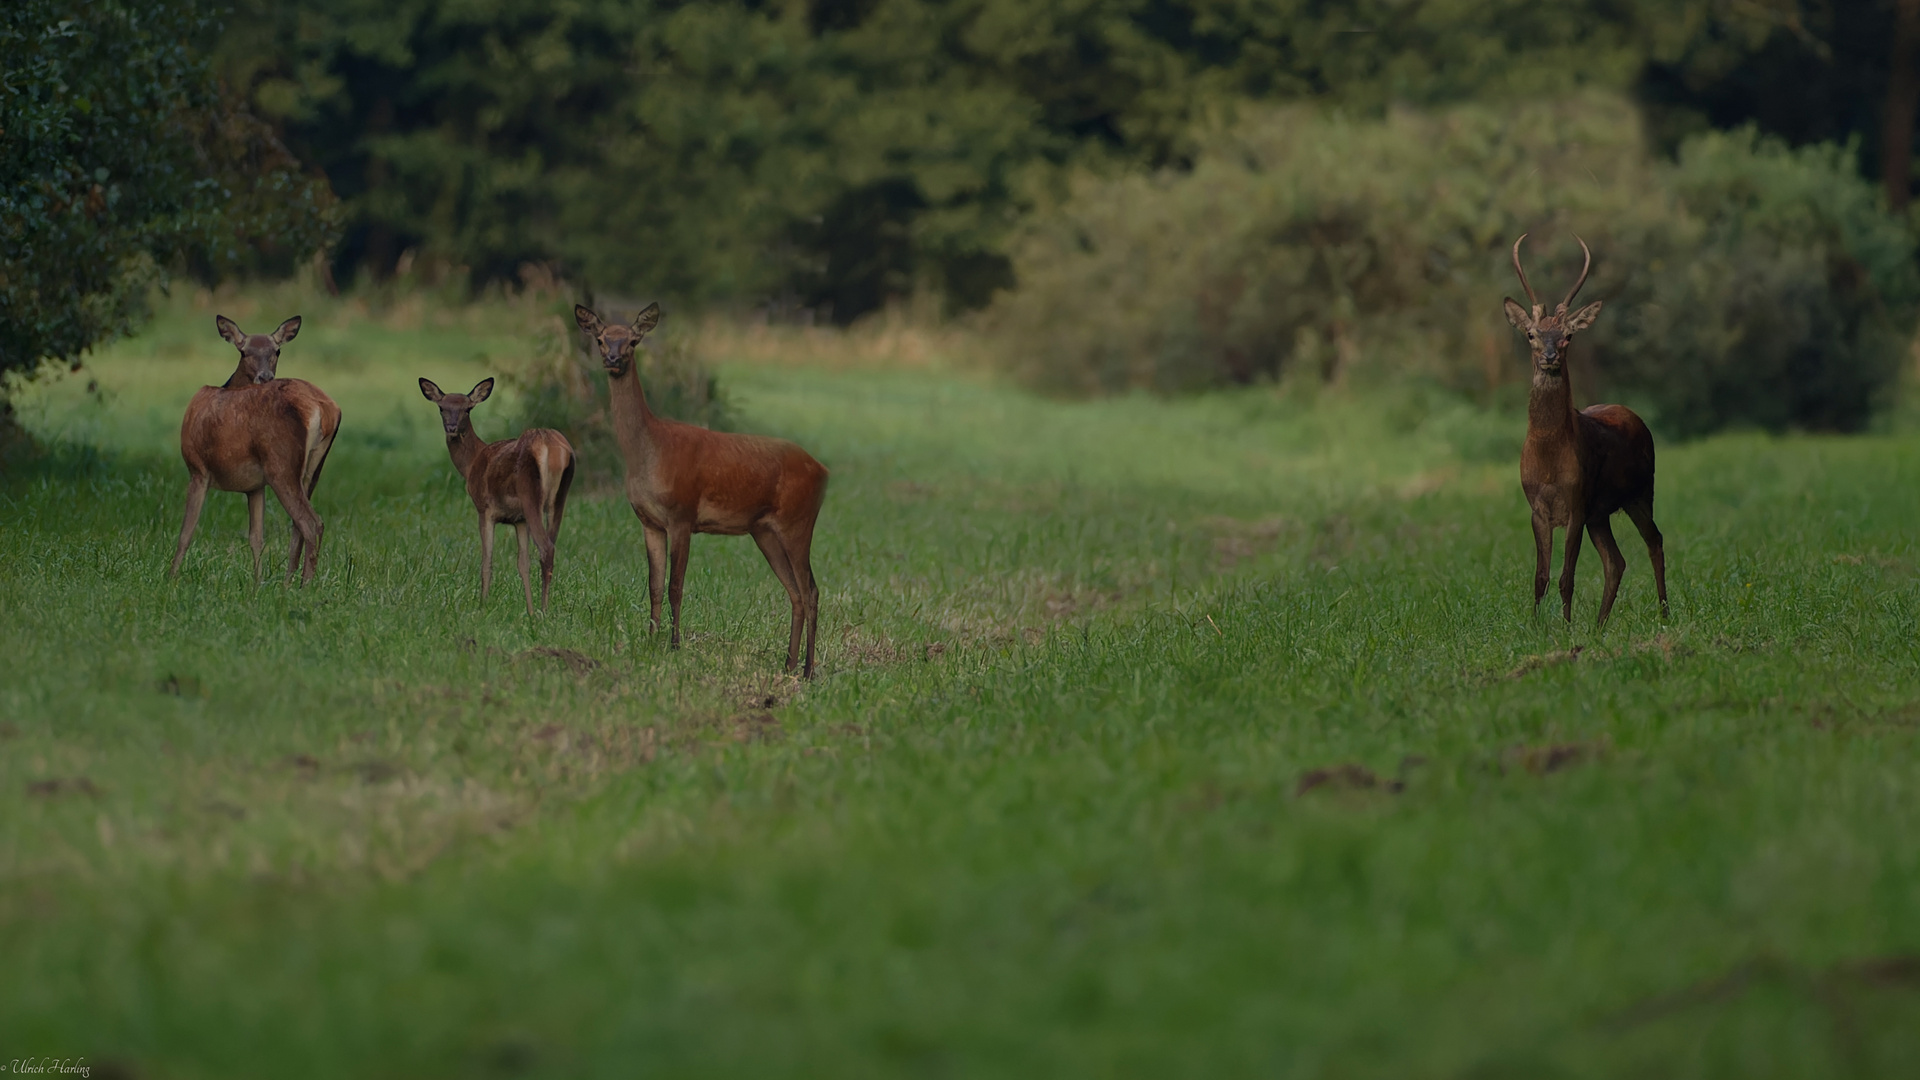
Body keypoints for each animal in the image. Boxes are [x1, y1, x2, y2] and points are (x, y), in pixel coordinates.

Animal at [170, 311, 343, 580]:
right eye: (244, 351)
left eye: (277, 351)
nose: (265, 377)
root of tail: (322, 408)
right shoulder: (255, 486)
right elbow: (256, 538)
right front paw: (257, 582)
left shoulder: (197, 468)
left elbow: (185, 533)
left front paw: (170, 579)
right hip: (311, 469)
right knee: (298, 525)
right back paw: (287, 582)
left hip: (280, 464)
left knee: (311, 523)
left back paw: (306, 584)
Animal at [416, 376, 572, 614]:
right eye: (442, 407)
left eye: (467, 409)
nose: (452, 428)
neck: (472, 463)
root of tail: (552, 448)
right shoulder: (519, 519)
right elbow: (522, 563)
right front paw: (528, 611)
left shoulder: (484, 508)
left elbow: (486, 561)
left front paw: (482, 606)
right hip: (559, 498)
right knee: (550, 546)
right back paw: (542, 609)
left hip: (530, 494)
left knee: (546, 549)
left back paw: (544, 611)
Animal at [568, 303, 825, 672]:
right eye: (601, 339)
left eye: (632, 340)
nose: (614, 359)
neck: (649, 451)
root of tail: (823, 471)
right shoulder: (649, 521)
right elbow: (654, 585)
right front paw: (650, 641)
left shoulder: (682, 513)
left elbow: (676, 585)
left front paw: (674, 645)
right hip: (764, 531)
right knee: (796, 592)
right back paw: (789, 664)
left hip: (798, 521)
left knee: (811, 590)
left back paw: (807, 669)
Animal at [1497, 234, 1666, 622]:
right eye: (1531, 333)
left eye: (1568, 335)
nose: (1549, 356)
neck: (1548, 460)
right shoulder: (1537, 508)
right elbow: (1540, 577)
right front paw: (1536, 626)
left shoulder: (1576, 500)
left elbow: (1566, 577)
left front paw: (1566, 626)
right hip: (1600, 513)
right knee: (1616, 561)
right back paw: (1599, 626)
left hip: (1640, 492)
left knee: (1655, 541)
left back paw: (1665, 615)